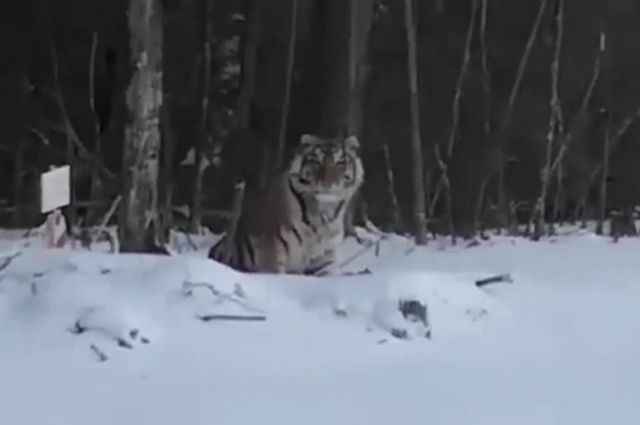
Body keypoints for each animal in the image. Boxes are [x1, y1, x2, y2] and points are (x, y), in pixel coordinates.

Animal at [208, 134, 362, 276]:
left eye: (340, 163)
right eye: (316, 162)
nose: (327, 184)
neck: (323, 213)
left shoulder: (324, 258)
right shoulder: (270, 251)